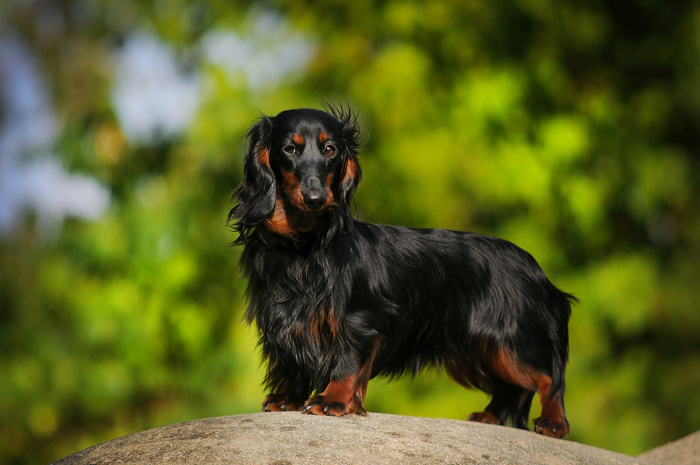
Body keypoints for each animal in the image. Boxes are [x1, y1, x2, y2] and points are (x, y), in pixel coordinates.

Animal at [229, 105, 576, 438]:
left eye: (330, 150)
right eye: (289, 149)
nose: (316, 199)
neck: (304, 244)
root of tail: (539, 272)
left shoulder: (359, 320)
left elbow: (346, 362)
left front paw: (333, 400)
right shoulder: (284, 319)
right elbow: (291, 361)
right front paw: (289, 397)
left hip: (508, 341)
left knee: (550, 377)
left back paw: (554, 422)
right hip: (477, 349)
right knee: (514, 388)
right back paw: (489, 416)